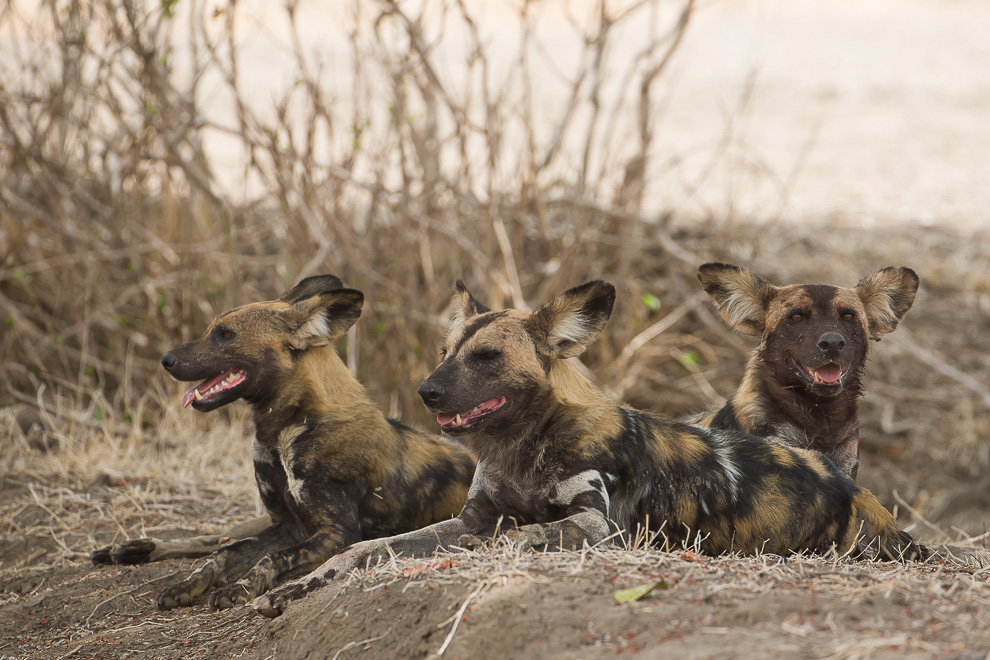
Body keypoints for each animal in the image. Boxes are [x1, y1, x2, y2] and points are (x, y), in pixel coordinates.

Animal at [90, 274, 476, 608]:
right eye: (212, 331)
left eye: (225, 335)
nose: (166, 360)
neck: (282, 432)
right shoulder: (285, 526)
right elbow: (222, 556)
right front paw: (189, 585)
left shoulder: (334, 534)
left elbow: (270, 559)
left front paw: (238, 589)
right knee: (216, 539)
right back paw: (127, 550)